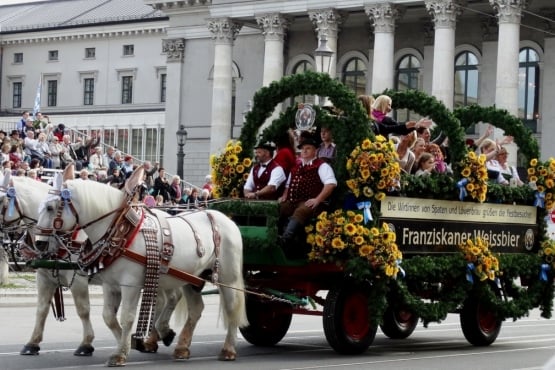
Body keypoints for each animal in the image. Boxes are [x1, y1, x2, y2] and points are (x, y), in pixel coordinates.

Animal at [35, 165, 249, 368]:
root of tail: (226, 219)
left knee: (232, 307)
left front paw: (121, 353)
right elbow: (108, 317)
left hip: (228, 278)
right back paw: (181, 347)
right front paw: (127, 343)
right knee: (196, 309)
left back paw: (228, 349)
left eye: (50, 208)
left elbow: (127, 316)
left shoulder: (131, 285)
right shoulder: (110, 285)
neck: (120, 231)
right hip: (192, 278)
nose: (39, 244)